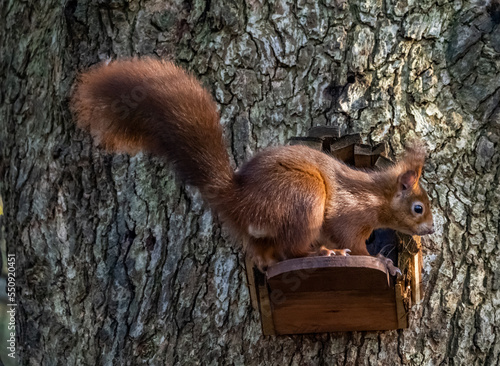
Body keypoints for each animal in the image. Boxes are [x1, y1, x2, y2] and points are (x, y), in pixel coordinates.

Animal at [70, 58, 434, 274]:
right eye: (418, 208)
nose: (430, 229)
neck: (376, 196)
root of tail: (240, 200)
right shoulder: (348, 215)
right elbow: (353, 242)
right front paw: (381, 261)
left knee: (270, 256)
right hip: (303, 196)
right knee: (291, 250)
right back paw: (323, 255)